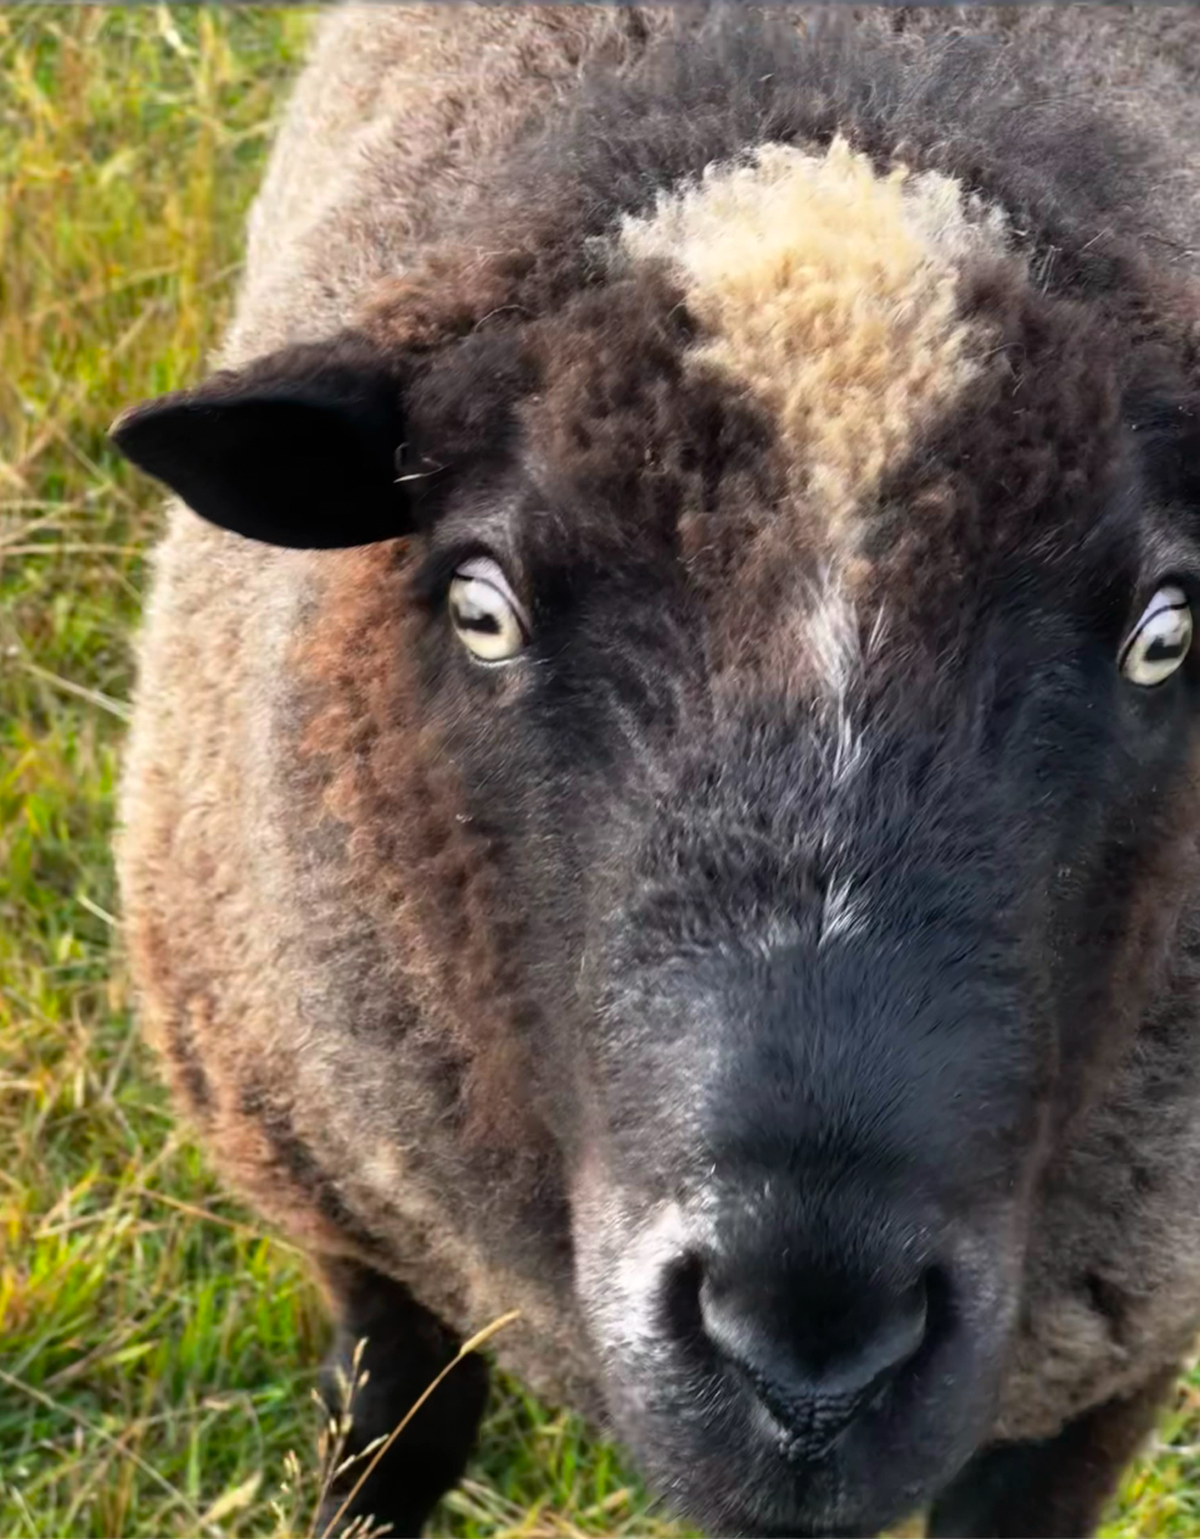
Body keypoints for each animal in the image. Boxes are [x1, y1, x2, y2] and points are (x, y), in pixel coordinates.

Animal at [109, 6, 1200, 1536]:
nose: (810, 1347)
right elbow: (390, 1440)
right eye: (482, 606)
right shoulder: (360, 1224)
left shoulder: (1115, 1355)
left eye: (1166, 632)